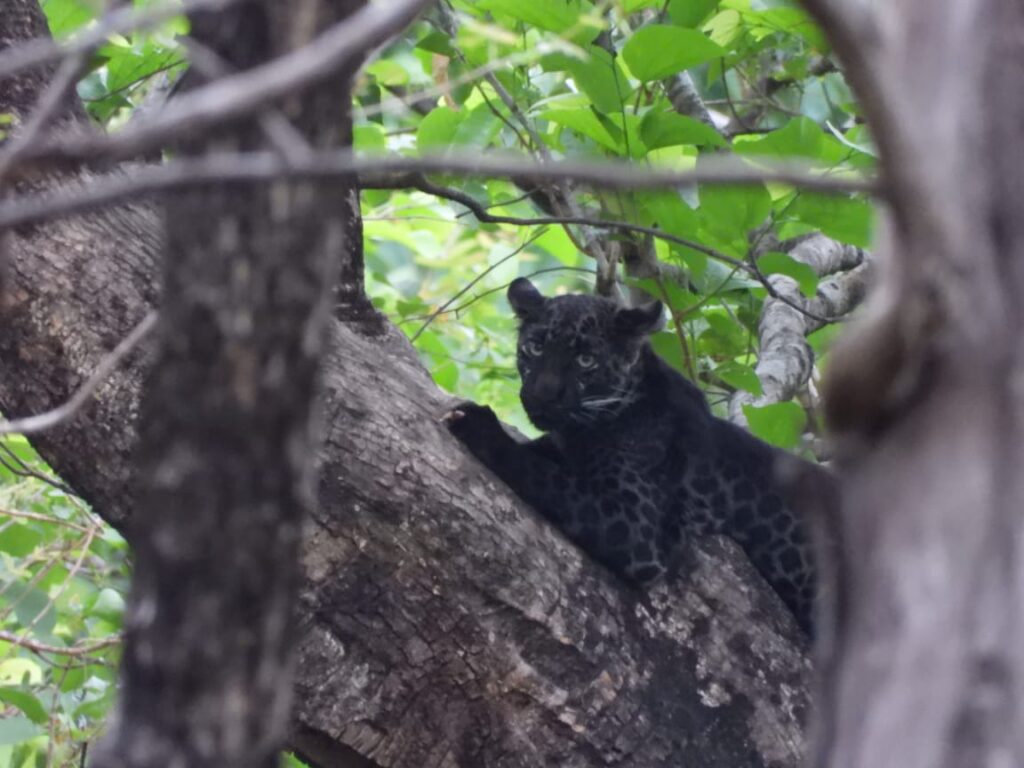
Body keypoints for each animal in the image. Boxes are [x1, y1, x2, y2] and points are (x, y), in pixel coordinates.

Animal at [444, 280, 827, 634]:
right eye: (535, 347)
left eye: (586, 360)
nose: (542, 395)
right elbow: (539, 456)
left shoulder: (636, 527)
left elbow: (543, 475)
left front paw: (478, 425)